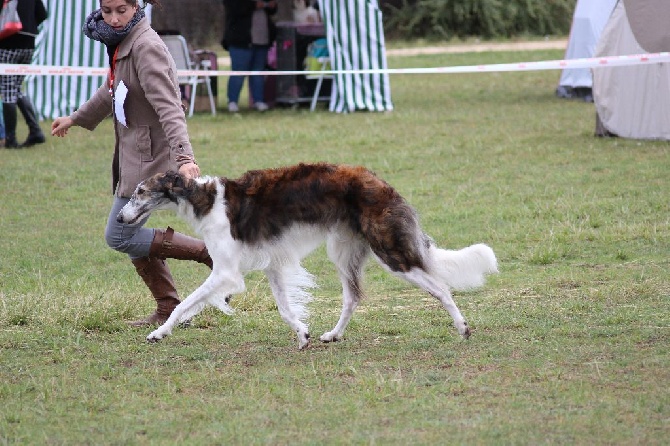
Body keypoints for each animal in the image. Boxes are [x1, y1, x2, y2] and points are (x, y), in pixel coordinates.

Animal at [118, 162, 498, 350]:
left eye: (141, 192)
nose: (120, 218)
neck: (207, 201)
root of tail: (382, 185)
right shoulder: (272, 265)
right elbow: (286, 308)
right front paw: (303, 335)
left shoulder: (226, 272)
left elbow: (184, 304)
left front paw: (159, 333)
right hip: (344, 252)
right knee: (353, 297)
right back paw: (333, 335)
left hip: (389, 253)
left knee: (441, 288)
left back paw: (463, 327)